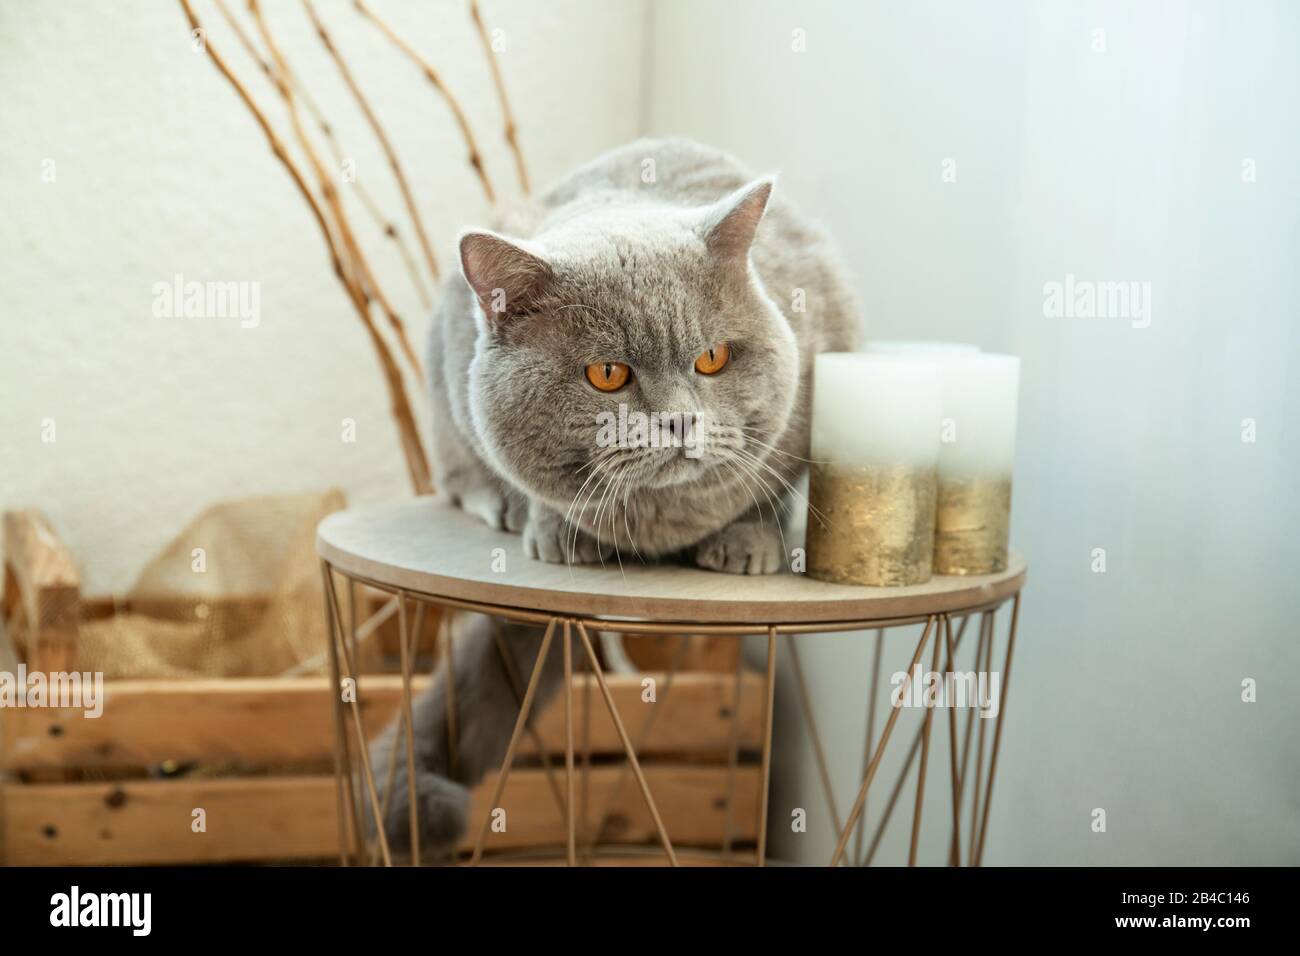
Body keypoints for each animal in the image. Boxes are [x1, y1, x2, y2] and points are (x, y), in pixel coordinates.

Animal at [369, 138, 852, 858]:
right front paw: (556, 529)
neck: (661, 522)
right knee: (458, 474)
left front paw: (747, 539)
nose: (681, 420)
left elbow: (766, 489)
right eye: (607, 374)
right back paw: (503, 508)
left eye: (712, 358)